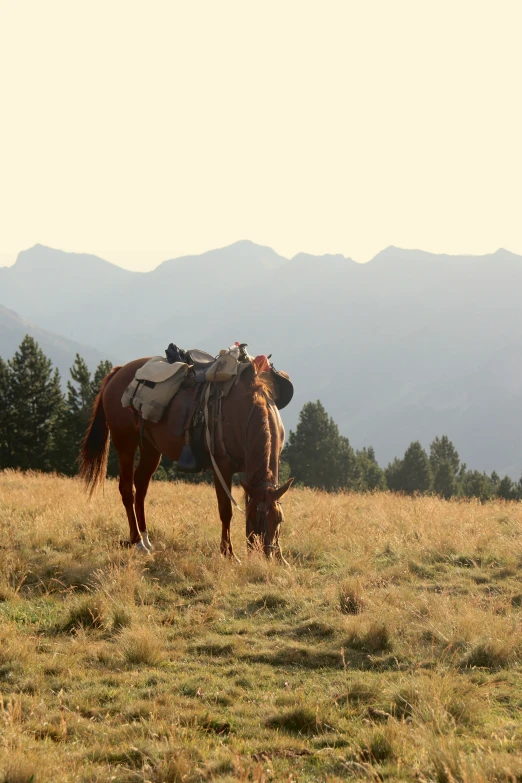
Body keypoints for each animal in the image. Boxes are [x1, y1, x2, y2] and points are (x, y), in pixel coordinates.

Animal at [78, 358, 292, 560]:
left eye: (279, 520)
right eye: (258, 520)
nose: (268, 554)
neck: (244, 411)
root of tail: (118, 373)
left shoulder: (249, 470)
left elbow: (247, 502)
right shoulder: (221, 469)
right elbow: (226, 511)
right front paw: (228, 553)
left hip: (150, 447)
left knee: (141, 487)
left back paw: (146, 539)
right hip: (125, 444)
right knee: (127, 490)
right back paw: (138, 542)